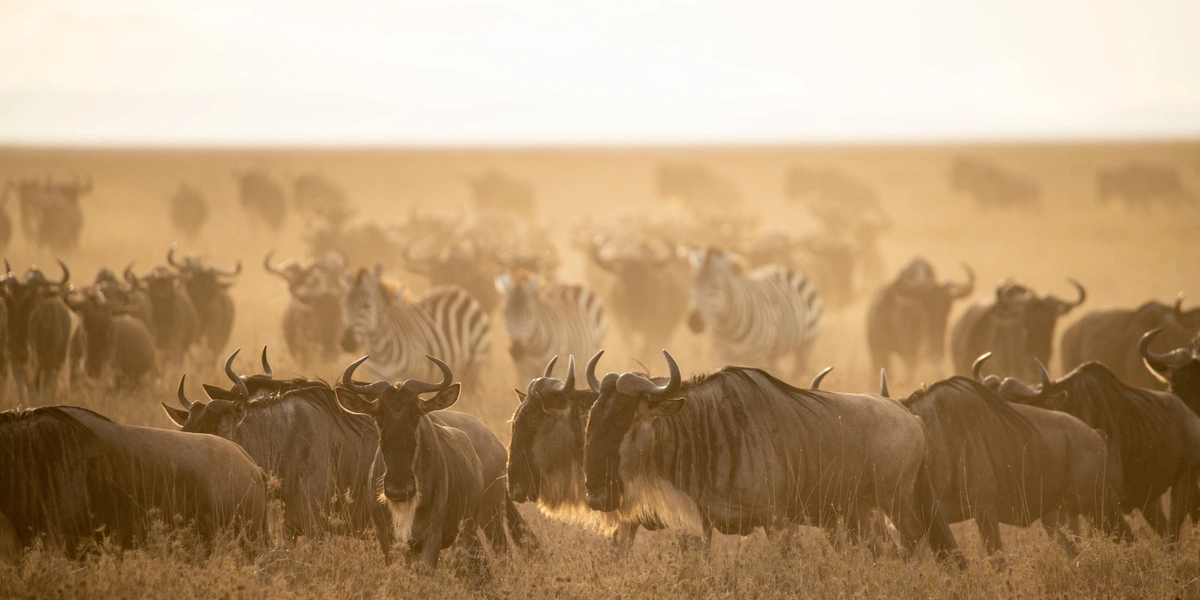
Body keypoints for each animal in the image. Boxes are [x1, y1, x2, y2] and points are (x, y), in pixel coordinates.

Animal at [340, 266, 489, 386]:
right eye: (345, 306)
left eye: (366, 306)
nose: (347, 344)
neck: (380, 352)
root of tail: (458, 289)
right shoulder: (376, 378)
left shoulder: (418, 374)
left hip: (475, 363)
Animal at [686, 246, 825, 376]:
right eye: (693, 285)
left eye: (716, 287)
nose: (694, 323)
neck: (729, 329)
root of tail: (781, 267)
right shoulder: (721, 356)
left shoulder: (759, 358)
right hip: (773, 354)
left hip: (805, 346)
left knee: (797, 372)